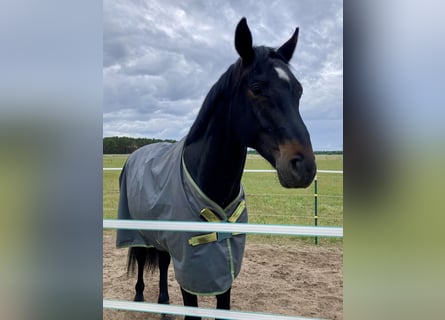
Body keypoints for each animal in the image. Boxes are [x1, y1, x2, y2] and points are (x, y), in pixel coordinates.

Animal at [115, 18, 316, 320]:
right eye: (257, 87)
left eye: (299, 90)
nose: (304, 166)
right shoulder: (190, 266)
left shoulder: (223, 266)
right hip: (138, 230)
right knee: (141, 258)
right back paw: (139, 296)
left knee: (162, 262)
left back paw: (163, 304)